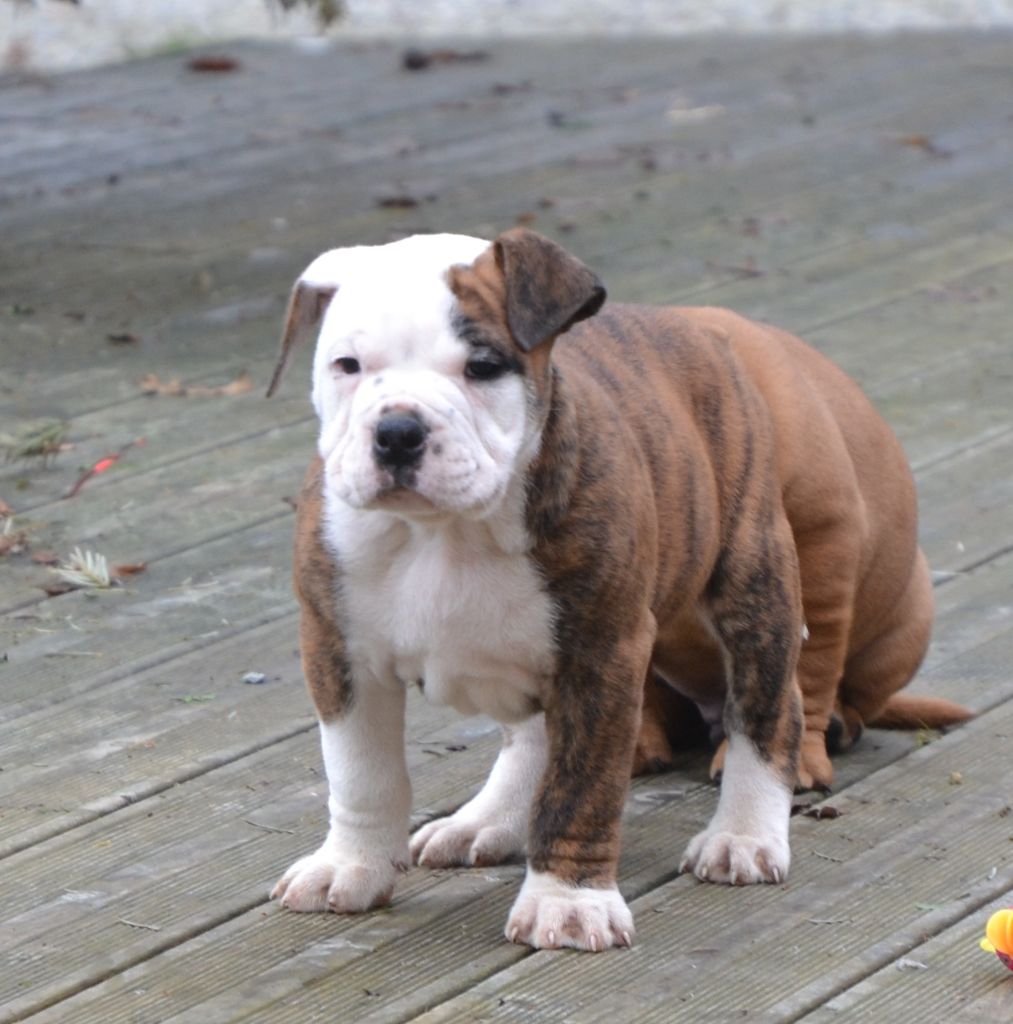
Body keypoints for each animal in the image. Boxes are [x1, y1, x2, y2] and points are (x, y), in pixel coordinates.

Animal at [264, 228, 968, 952]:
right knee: (532, 738)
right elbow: (362, 773)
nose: (397, 431)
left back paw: (743, 835)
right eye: (346, 365)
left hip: (754, 583)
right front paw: (350, 866)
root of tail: (697, 328)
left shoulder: (602, 654)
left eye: (483, 367)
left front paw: (568, 901)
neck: (445, 532)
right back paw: (486, 820)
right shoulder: (340, 653)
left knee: (769, 711)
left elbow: (583, 785)